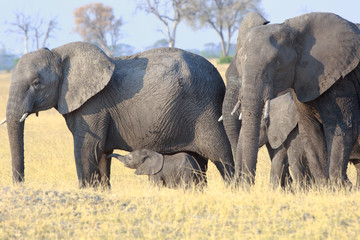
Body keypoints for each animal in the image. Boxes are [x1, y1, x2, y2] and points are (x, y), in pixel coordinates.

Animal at [4, 41, 236, 188]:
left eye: (36, 83)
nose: (20, 186)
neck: (59, 53)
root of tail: (220, 78)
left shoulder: (93, 106)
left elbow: (86, 150)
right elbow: (101, 154)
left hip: (206, 110)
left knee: (222, 157)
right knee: (200, 163)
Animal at [231, 11, 360, 186]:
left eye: (277, 62)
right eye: (240, 62)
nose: (245, 185)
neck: (293, 29)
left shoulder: (343, 78)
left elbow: (343, 127)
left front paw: (339, 187)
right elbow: (309, 130)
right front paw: (324, 187)